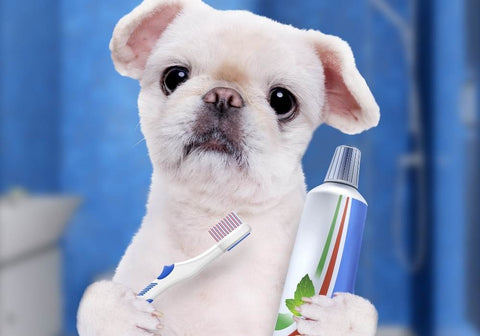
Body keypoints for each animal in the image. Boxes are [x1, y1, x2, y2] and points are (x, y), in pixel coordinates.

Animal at [77, 0, 380, 334]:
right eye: (175, 77)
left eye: (282, 101)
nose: (224, 95)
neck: (211, 214)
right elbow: (94, 300)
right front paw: (120, 309)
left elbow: (359, 314)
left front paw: (335, 316)